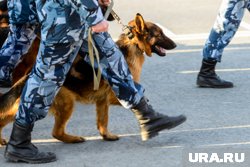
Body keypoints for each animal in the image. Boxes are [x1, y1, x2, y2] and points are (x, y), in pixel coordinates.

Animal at [0, 13, 177, 145]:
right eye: (160, 34)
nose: (175, 45)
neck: (133, 46)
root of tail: (29, 76)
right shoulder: (117, 94)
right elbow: (135, 96)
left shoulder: (102, 100)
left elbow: (102, 121)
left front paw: (106, 135)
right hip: (66, 103)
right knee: (56, 132)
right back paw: (72, 139)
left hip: (24, 106)